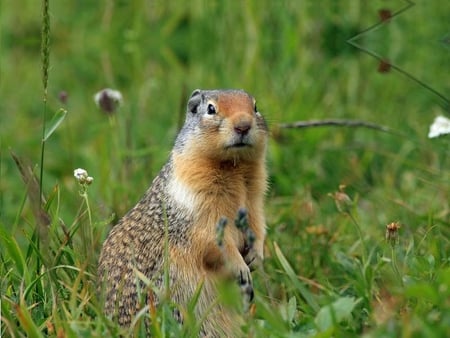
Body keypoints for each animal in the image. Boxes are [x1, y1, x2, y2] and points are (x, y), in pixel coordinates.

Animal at [97, 88, 268, 336]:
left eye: (255, 106)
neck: (234, 167)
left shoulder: (254, 201)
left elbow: (258, 227)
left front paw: (256, 257)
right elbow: (213, 240)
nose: (243, 125)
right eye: (211, 109)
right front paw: (241, 267)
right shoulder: (199, 210)